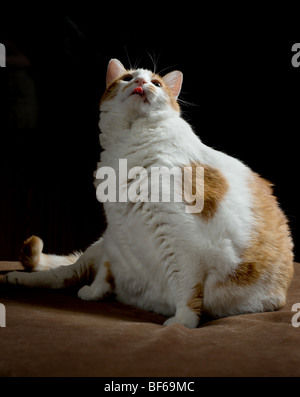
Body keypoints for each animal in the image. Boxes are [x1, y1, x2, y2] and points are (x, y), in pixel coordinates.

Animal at [5, 57, 294, 326]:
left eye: (156, 83)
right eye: (127, 77)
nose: (141, 82)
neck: (127, 148)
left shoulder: (180, 241)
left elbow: (185, 289)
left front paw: (181, 324)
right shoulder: (115, 232)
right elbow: (105, 273)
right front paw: (95, 293)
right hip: (99, 244)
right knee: (64, 273)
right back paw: (17, 278)